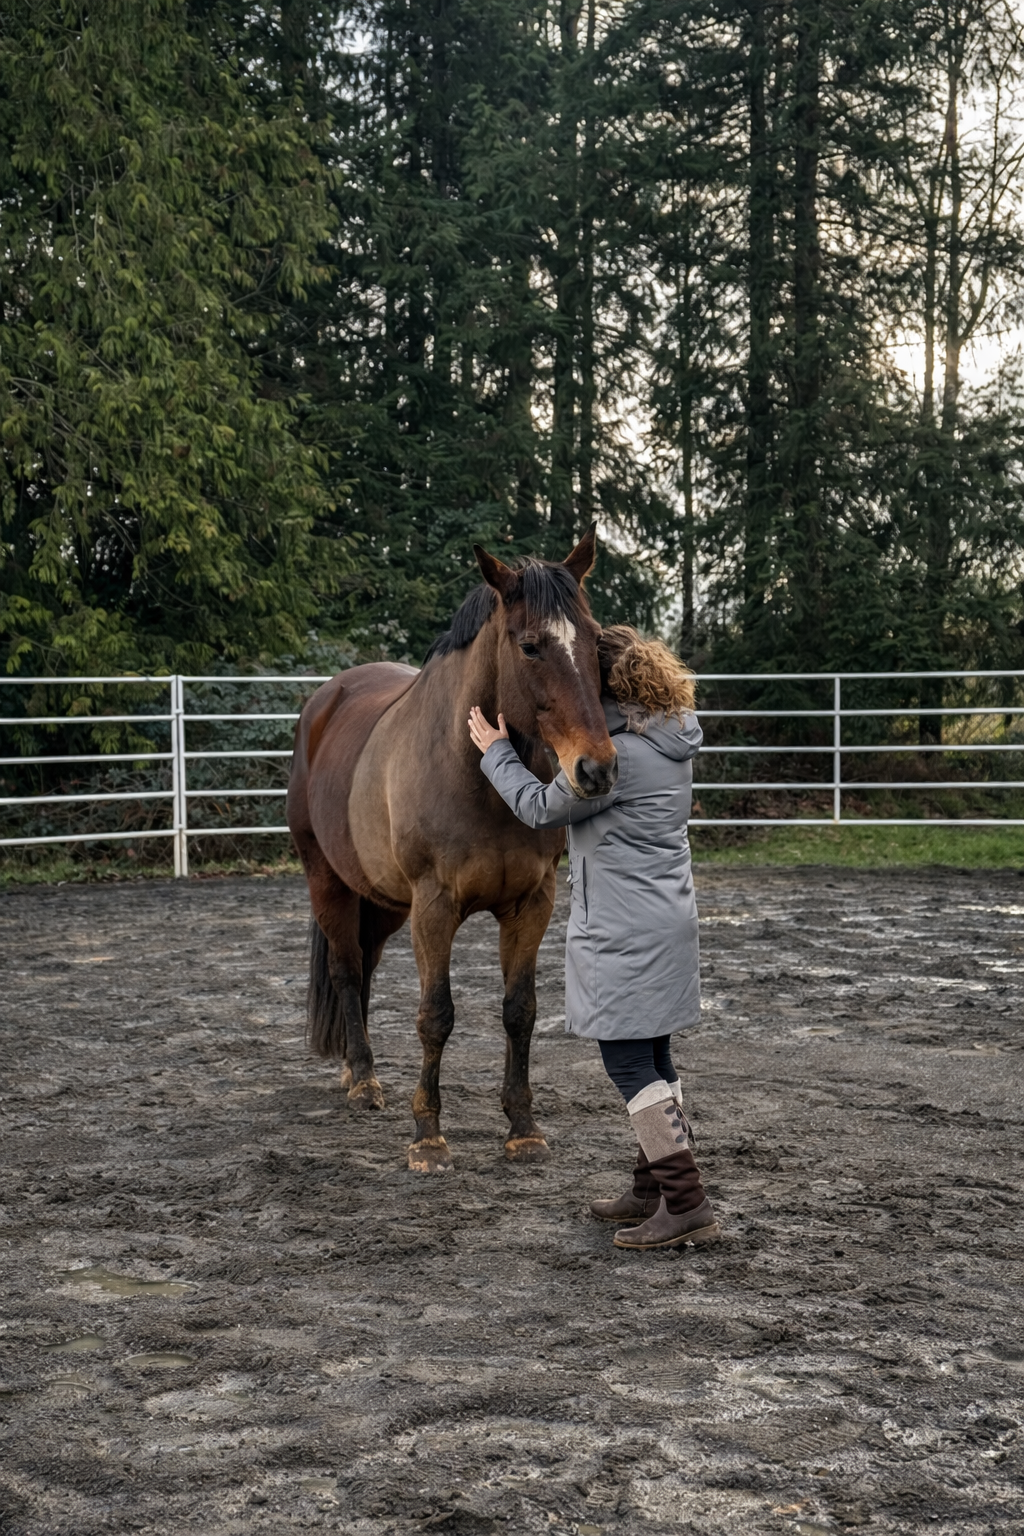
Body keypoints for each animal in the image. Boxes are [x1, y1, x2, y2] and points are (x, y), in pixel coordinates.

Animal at [286, 525, 619, 1172]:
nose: (596, 770)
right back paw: (364, 1080)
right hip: (328, 882)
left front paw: (523, 1127)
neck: (482, 779)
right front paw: (428, 1137)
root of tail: (324, 702)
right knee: (346, 970)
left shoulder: (531, 905)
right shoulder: (434, 907)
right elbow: (435, 1015)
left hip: (383, 903)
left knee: (365, 966)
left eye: (594, 642)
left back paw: (354, 1070)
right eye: (530, 646)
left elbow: (520, 1011)